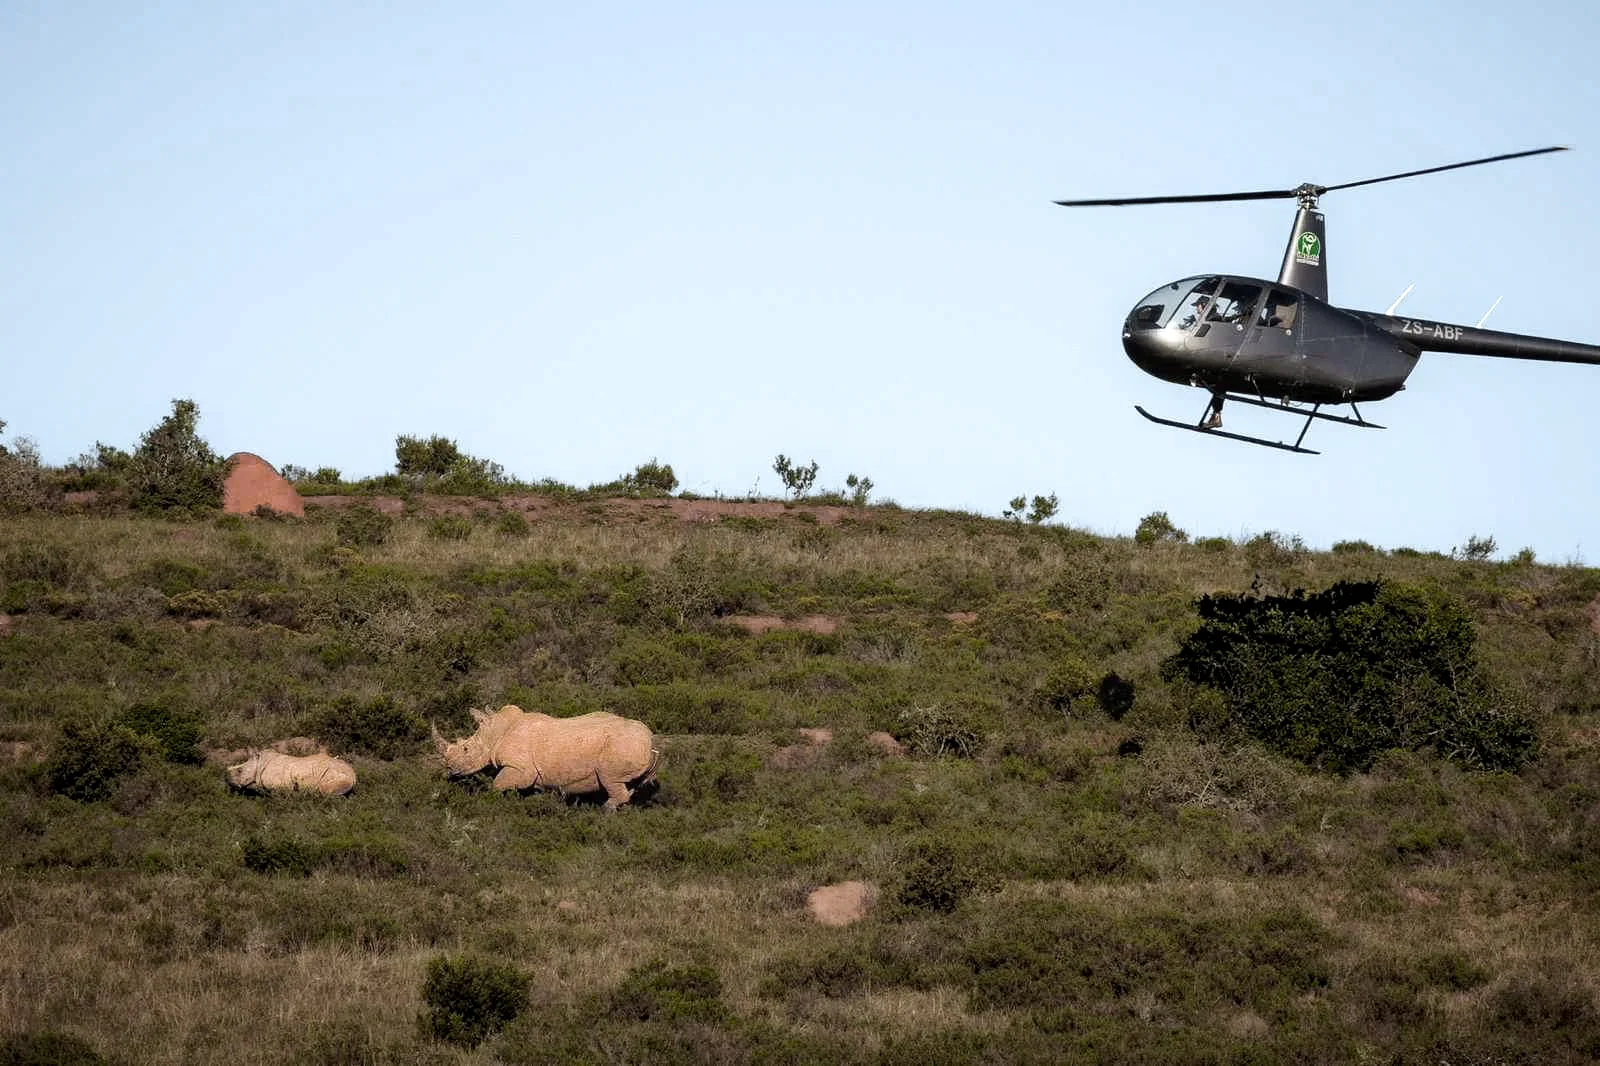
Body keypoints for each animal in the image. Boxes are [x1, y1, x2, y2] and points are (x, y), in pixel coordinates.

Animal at [226, 751, 357, 796]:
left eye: (239, 771)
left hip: (336, 774)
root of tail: (354, 775)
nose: (229, 782)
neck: (259, 763)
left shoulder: (280, 786)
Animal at [433, 705, 660, 810]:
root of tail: (651, 739)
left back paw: (604, 810)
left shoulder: (521, 769)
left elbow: (497, 784)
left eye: (466, 749)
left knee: (610, 778)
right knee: (628, 785)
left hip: (621, 745)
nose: (449, 769)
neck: (495, 731)